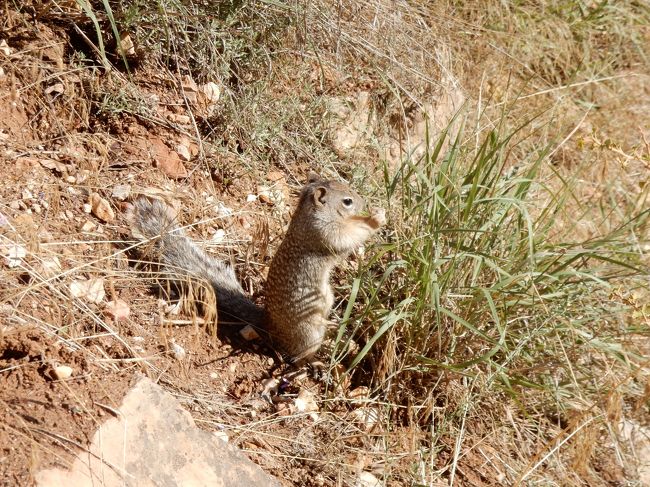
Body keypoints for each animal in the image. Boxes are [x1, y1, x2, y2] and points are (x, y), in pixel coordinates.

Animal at [130, 174, 384, 362]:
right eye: (347, 201)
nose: (364, 203)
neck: (308, 214)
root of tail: (268, 322)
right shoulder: (323, 232)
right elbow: (346, 238)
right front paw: (376, 219)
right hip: (308, 332)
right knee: (299, 355)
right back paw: (313, 361)